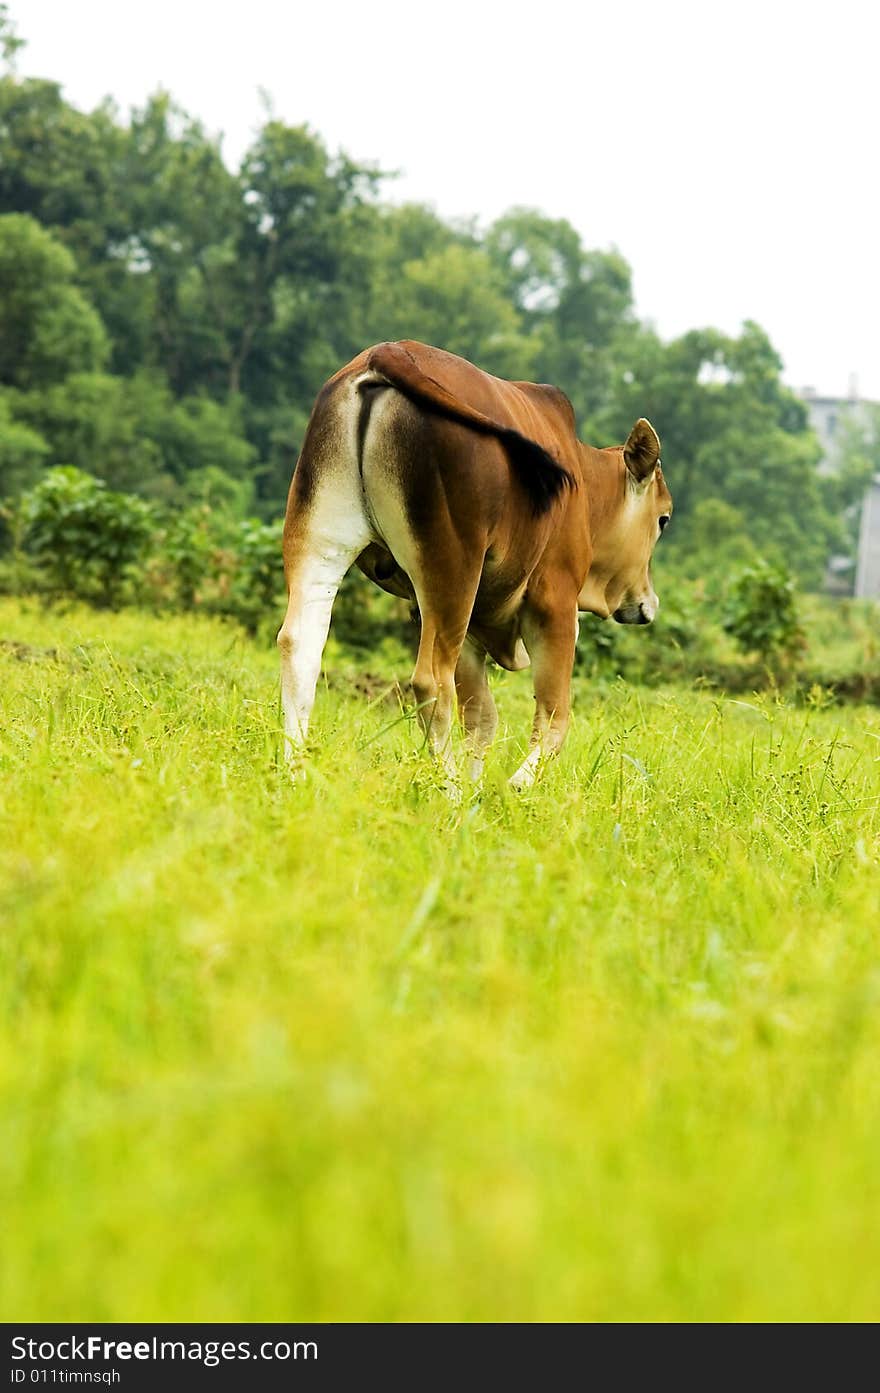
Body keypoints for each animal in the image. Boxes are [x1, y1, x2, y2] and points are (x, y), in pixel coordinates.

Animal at [278, 341, 671, 791]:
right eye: (663, 518)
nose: (648, 603)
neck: (585, 489)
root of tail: (387, 352)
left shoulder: (466, 626)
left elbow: (482, 716)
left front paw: (476, 789)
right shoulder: (555, 602)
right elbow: (554, 717)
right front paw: (514, 786)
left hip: (321, 541)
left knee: (300, 648)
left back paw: (293, 773)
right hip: (452, 567)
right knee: (431, 681)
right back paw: (446, 789)